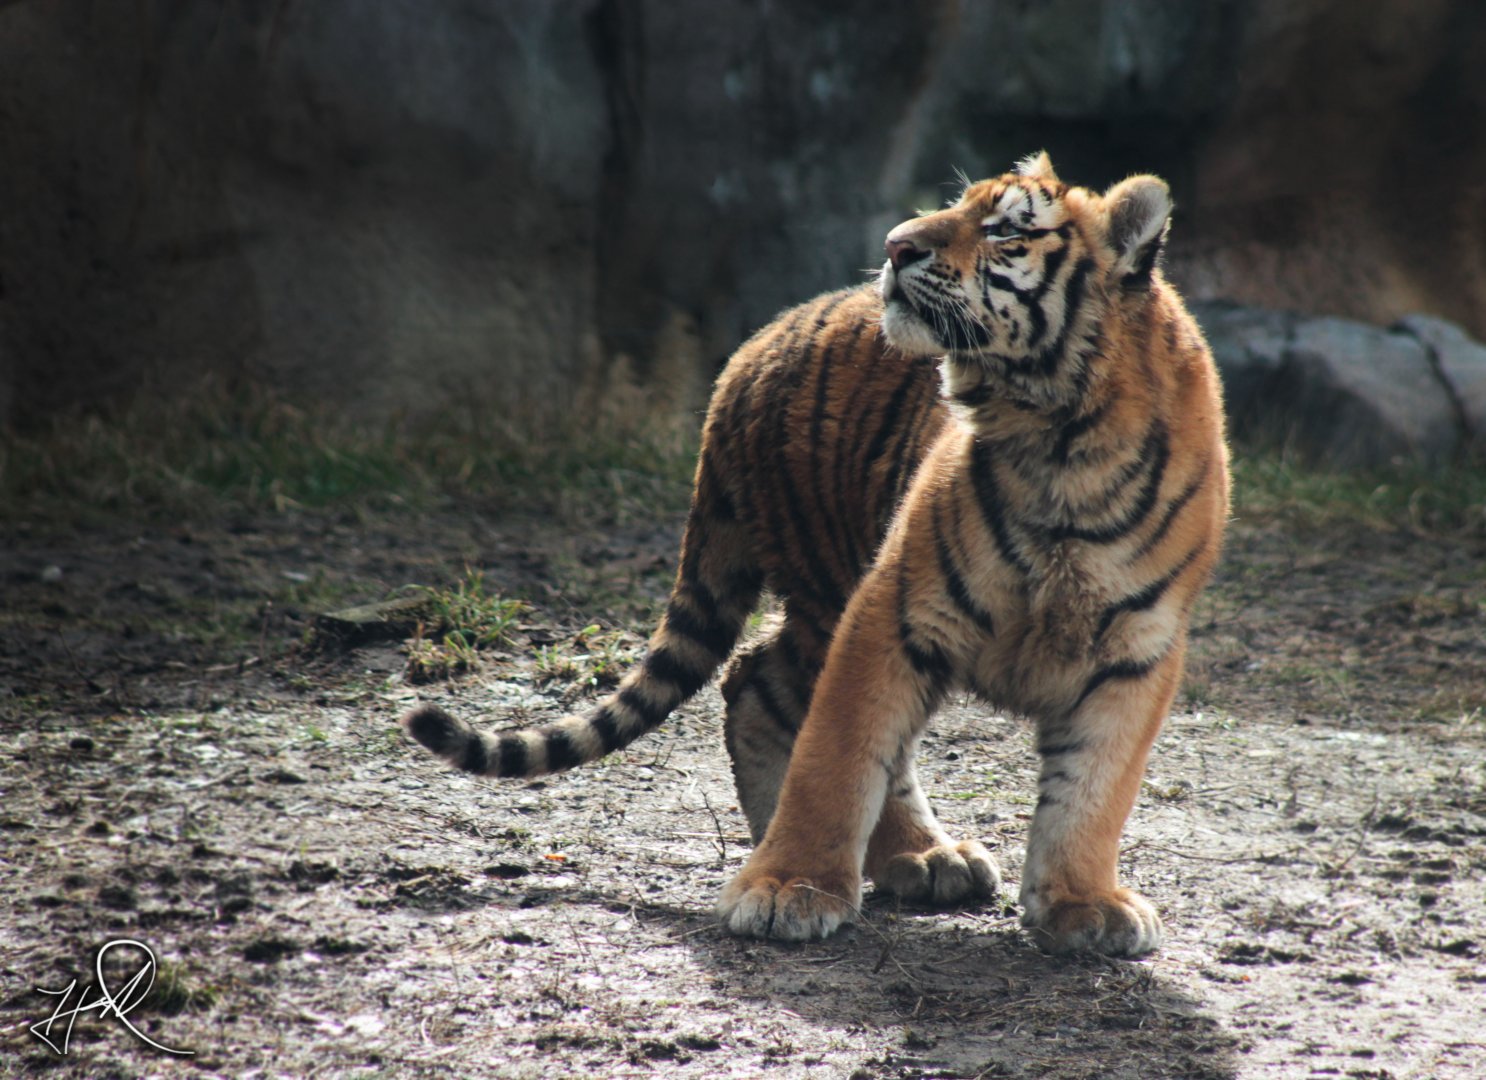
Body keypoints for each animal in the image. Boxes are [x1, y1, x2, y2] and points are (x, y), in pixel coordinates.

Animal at [403, 152, 1229, 956]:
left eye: (1003, 230)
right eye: (963, 207)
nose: (896, 245)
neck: (1055, 436)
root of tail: (751, 349)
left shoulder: (1137, 655)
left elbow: (1093, 790)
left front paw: (1083, 905)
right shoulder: (893, 609)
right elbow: (840, 755)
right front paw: (788, 888)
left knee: (762, 679)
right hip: (831, 579)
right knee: (764, 683)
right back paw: (897, 854)